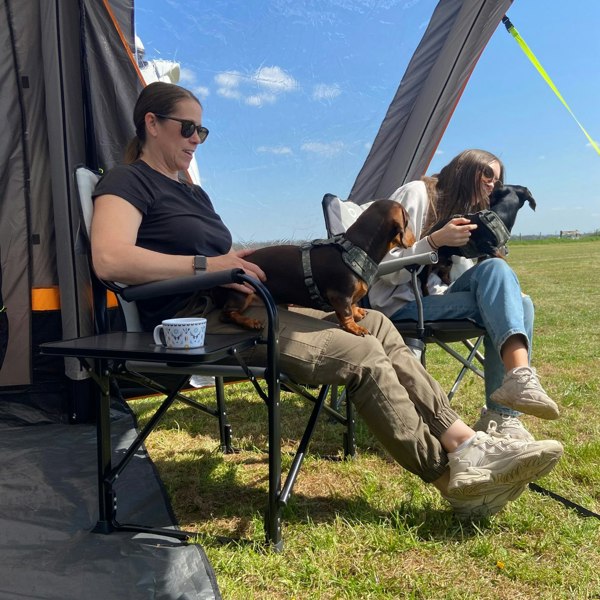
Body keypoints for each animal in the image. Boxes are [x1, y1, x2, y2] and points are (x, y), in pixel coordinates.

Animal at [213, 199, 414, 336]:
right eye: (408, 220)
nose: (414, 238)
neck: (356, 248)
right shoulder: (339, 296)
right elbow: (346, 312)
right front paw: (354, 327)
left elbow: (353, 305)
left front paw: (358, 312)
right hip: (242, 292)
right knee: (225, 314)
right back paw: (250, 322)